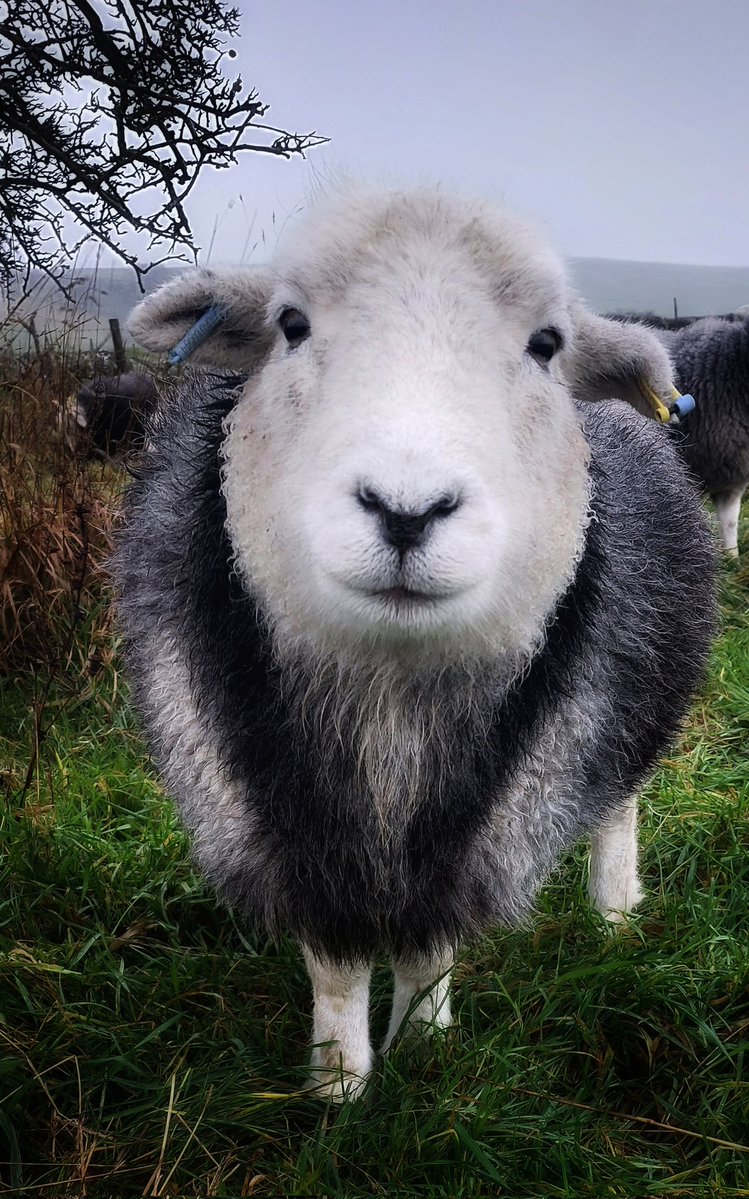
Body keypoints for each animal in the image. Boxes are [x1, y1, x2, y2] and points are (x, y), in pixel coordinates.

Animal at [116, 186, 716, 1101]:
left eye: (546, 345)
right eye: (290, 324)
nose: (406, 510)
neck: (389, 698)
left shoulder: (486, 810)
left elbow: (429, 947)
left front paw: (426, 1051)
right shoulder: (280, 809)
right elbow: (334, 964)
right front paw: (336, 1085)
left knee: (618, 801)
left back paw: (612, 910)